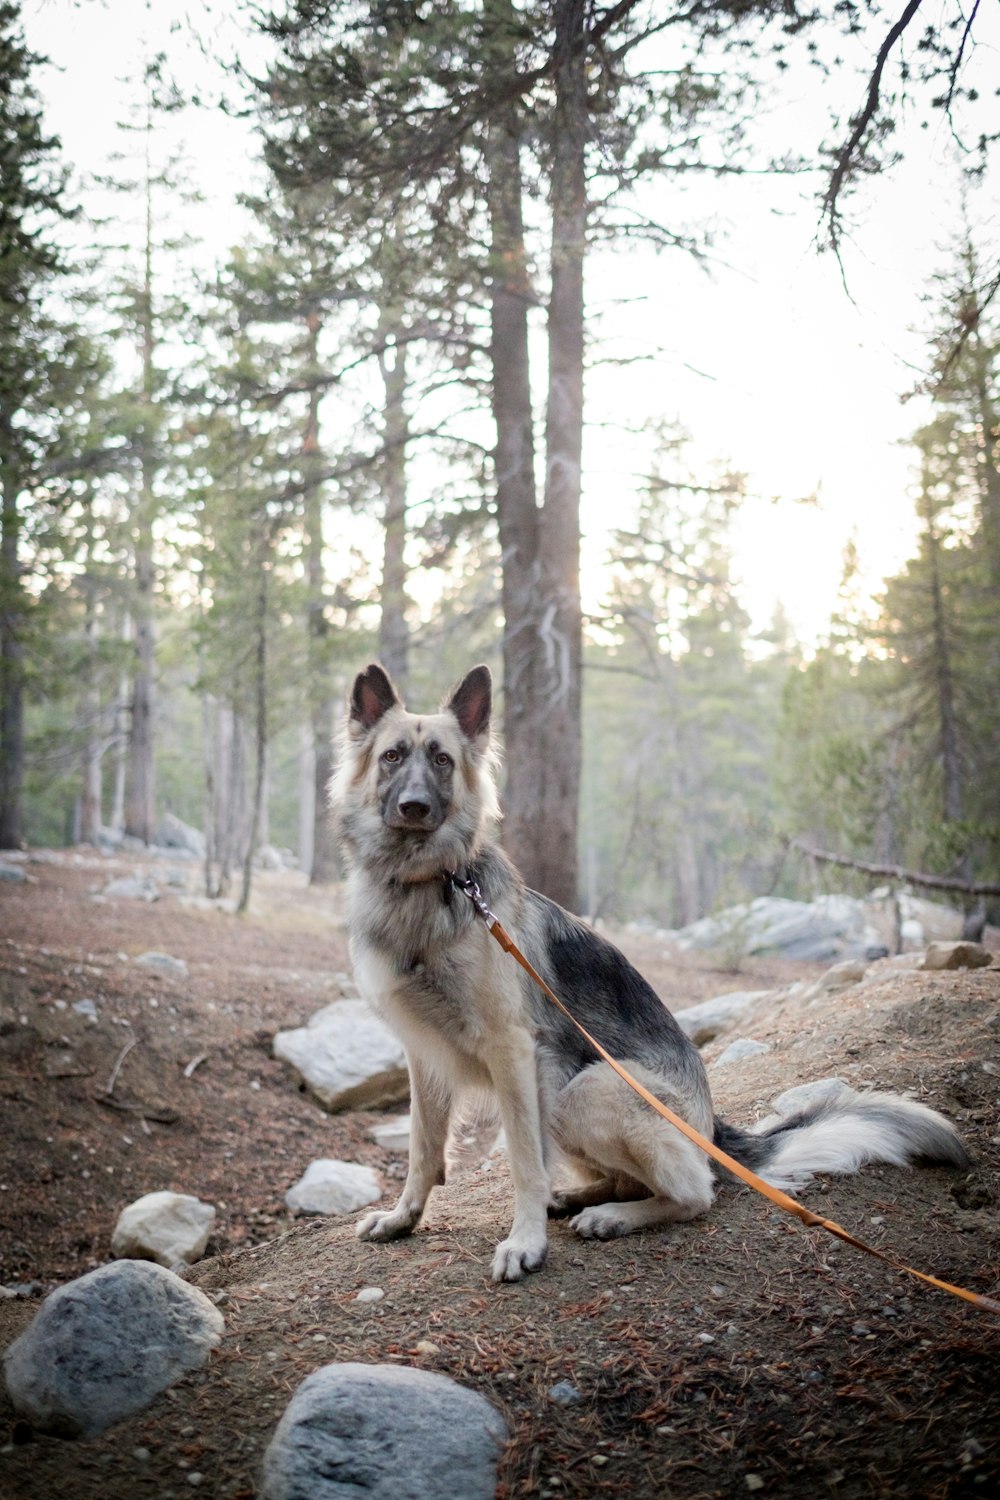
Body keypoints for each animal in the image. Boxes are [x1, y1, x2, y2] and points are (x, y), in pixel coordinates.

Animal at [334, 663, 971, 1284]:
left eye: (442, 760)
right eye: (392, 756)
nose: (415, 807)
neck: (428, 885)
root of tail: (712, 1129)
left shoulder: (513, 1050)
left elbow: (523, 1162)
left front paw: (525, 1242)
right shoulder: (425, 1053)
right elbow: (423, 1149)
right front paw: (404, 1217)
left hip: (580, 1091)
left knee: (696, 1191)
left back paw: (615, 1216)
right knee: (637, 1178)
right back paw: (585, 1199)